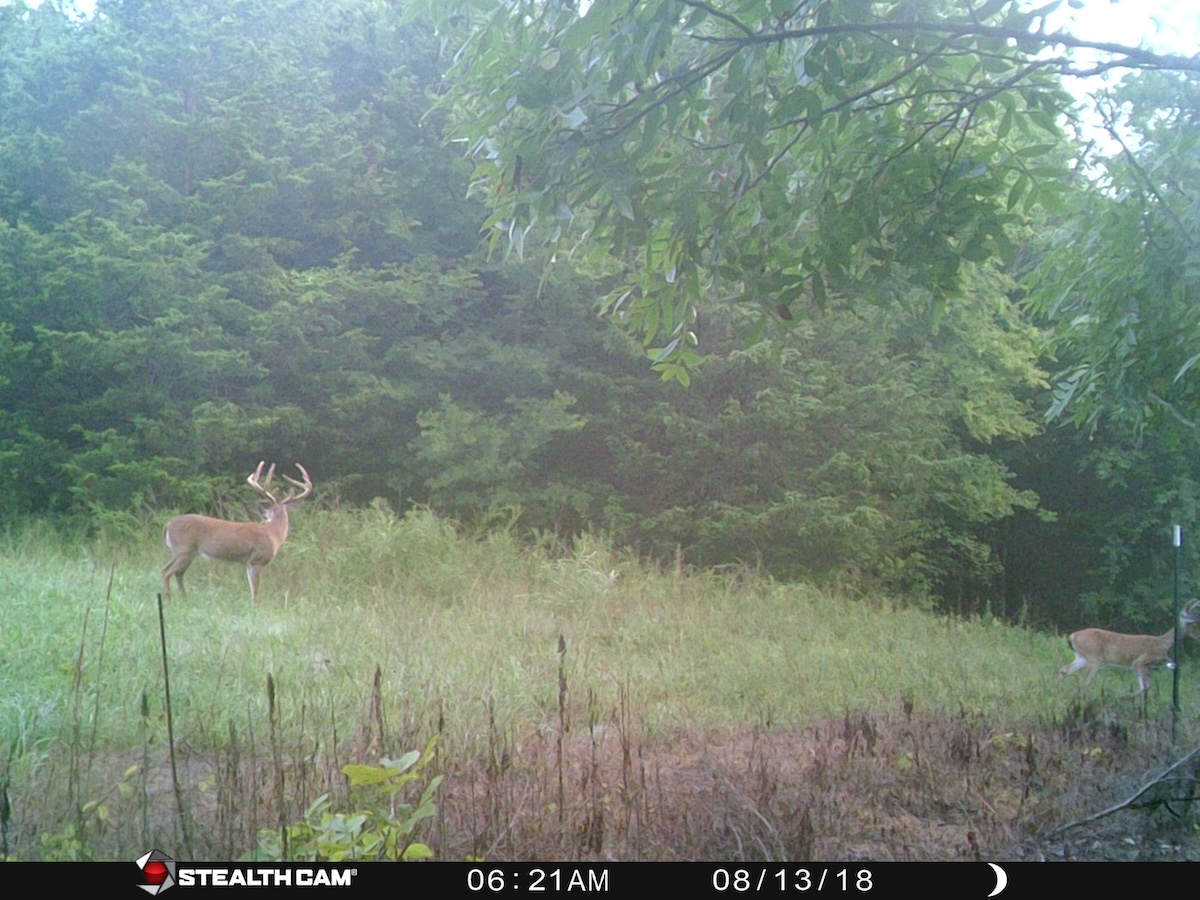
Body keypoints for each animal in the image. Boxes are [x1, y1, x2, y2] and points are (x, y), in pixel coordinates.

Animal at [161, 461, 312, 604]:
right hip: (183, 548)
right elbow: (256, 591)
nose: (265, 515)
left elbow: (252, 590)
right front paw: (255, 608)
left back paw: (184, 599)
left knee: (178, 573)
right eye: (270, 509)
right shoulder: (257, 560)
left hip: (190, 552)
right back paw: (168, 601)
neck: (273, 534)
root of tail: (168, 525)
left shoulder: (248, 563)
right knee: (166, 571)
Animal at [1059, 599, 1200, 696]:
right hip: (1094, 658)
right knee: (1086, 682)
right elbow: (1146, 686)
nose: (1198, 635)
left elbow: (1144, 687)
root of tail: (1072, 636)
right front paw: (1127, 697)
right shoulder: (1140, 662)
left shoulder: (1139, 667)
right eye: (1193, 624)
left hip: (1081, 657)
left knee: (1064, 670)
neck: (1163, 643)